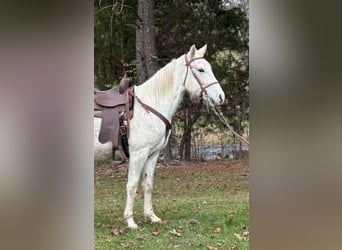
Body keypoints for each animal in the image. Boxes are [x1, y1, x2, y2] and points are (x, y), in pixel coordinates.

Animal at [95, 44, 226, 229]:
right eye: (200, 69)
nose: (221, 97)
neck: (150, 105)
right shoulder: (138, 154)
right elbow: (132, 185)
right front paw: (130, 221)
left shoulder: (152, 154)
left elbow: (148, 184)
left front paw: (151, 216)